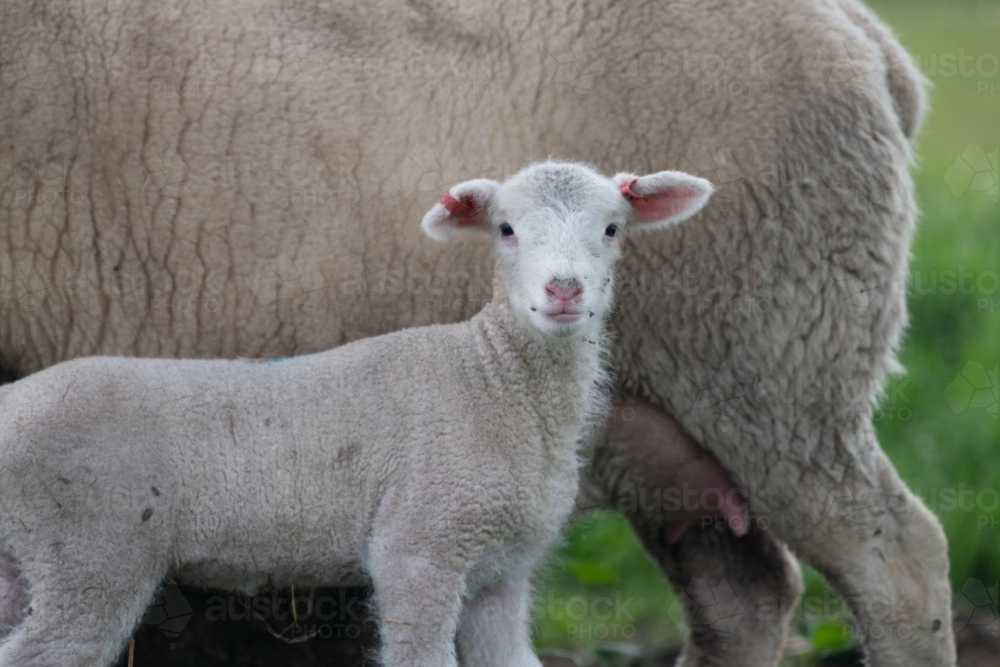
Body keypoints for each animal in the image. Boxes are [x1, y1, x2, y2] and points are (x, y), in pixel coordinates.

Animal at [0, 162, 714, 667]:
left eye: (612, 229)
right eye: (506, 229)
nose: (563, 290)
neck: (492, 380)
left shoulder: (502, 573)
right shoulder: (420, 545)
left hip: (25, 555)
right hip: (90, 547)